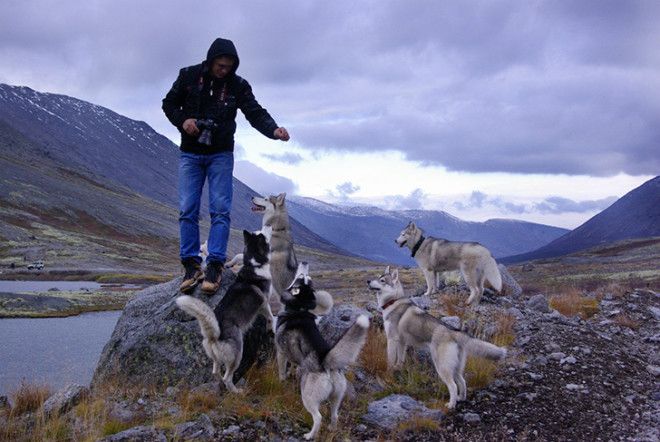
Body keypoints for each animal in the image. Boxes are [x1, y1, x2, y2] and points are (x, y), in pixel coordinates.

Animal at [175, 230, 274, 392]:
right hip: (237, 353)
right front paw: (271, 327)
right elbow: (271, 316)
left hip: (216, 358)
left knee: (215, 371)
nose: (269, 227)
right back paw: (236, 391)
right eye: (263, 236)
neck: (254, 264)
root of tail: (214, 336)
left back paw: (220, 383)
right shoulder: (264, 303)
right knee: (228, 377)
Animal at [278, 262, 372, 438]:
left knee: (318, 417)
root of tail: (326, 362)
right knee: (335, 415)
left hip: (308, 396)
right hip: (337, 396)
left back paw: (310, 435)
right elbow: (293, 364)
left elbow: (281, 370)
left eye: (302, 277)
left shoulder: (280, 352)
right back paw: (332, 429)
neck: (299, 308)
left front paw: (281, 380)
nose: (305, 263)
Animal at [366, 266, 506, 408]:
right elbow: (400, 359)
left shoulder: (392, 339)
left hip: (442, 367)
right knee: (462, 381)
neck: (393, 301)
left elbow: (390, 359)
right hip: (455, 367)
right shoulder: (402, 342)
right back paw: (461, 398)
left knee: (453, 386)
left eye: (382, 280)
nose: (368, 281)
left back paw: (451, 405)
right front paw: (398, 368)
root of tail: (455, 332)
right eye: (378, 276)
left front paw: (389, 372)